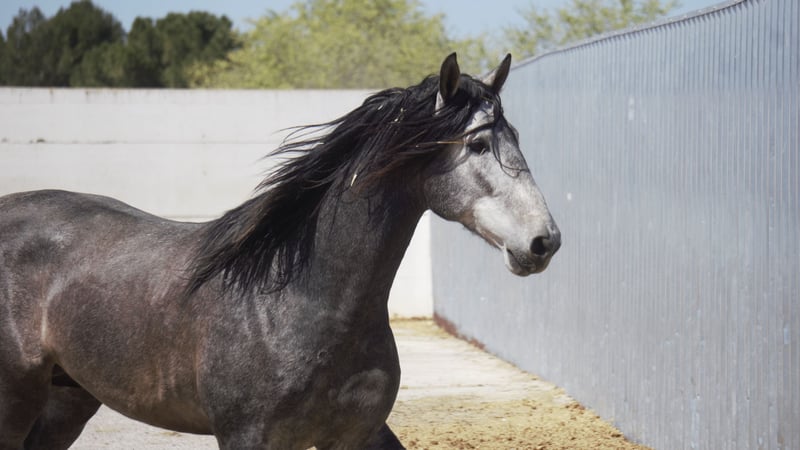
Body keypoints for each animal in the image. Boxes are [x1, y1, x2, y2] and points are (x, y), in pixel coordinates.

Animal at [0, 53, 560, 449]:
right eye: (477, 145)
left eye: (514, 137)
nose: (544, 241)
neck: (301, 303)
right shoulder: (248, 437)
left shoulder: (359, 435)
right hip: (16, 399)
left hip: (67, 399)